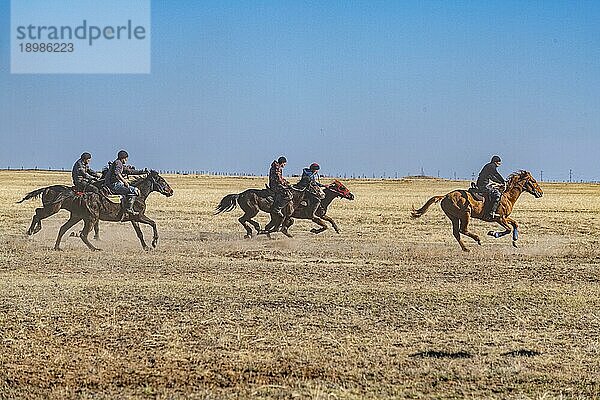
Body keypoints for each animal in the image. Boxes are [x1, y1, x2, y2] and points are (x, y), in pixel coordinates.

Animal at [19, 171, 173, 252]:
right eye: (161, 180)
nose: (171, 191)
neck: (138, 194)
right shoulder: (139, 216)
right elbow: (153, 223)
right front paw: (154, 242)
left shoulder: (134, 218)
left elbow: (140, 233)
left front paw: (146, 247)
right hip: (82, 216)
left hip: (76, 216)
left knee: (62, 228)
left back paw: (56, 246)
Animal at [216, 180, 354, 238]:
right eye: (341, 187)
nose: (351, 195)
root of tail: (240, 194)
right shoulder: (313, 216)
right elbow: (324, 225)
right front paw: (314, 230)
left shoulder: (320, 215)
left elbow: (330, 220)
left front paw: (337, 229)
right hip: (253, 210)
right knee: (243, 219)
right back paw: (252, 231)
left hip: (260, 212)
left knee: (257, 223)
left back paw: (259, 230)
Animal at [412, 170, 544, 252]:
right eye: (533, 181)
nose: (541, 193)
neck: (507, 196)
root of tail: (445, 196)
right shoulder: (499, 218)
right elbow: (508, 229)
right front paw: (493, 233)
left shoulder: (505, 217)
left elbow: (515, 224)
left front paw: (515, 241)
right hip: (465, 215)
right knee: (463, 230)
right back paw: (478, 239)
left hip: (454, 218)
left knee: (456, 233)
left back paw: (466, 249)